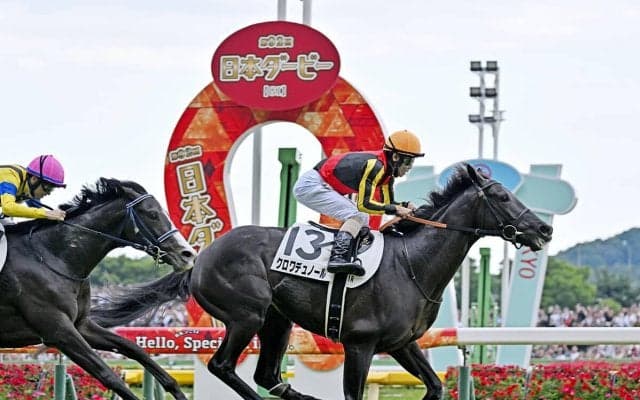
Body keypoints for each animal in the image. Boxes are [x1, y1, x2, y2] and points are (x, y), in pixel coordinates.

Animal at [0, 178, 196, 400]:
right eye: (152, 214)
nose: (188, 254)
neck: (50, 257)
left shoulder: (81, 325)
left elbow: (135, 349)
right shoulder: (58, 331)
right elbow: (109, 376)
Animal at [91, 164, 553, 400]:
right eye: (503, 197)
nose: (544, 230)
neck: (412, 265)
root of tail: (200, 256)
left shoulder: (402, 344)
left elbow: (436, 387)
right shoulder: (361, 345)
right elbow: (353, 395)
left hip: (277, 320)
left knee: (267, 376)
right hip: (247, 316)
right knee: (224, 366)